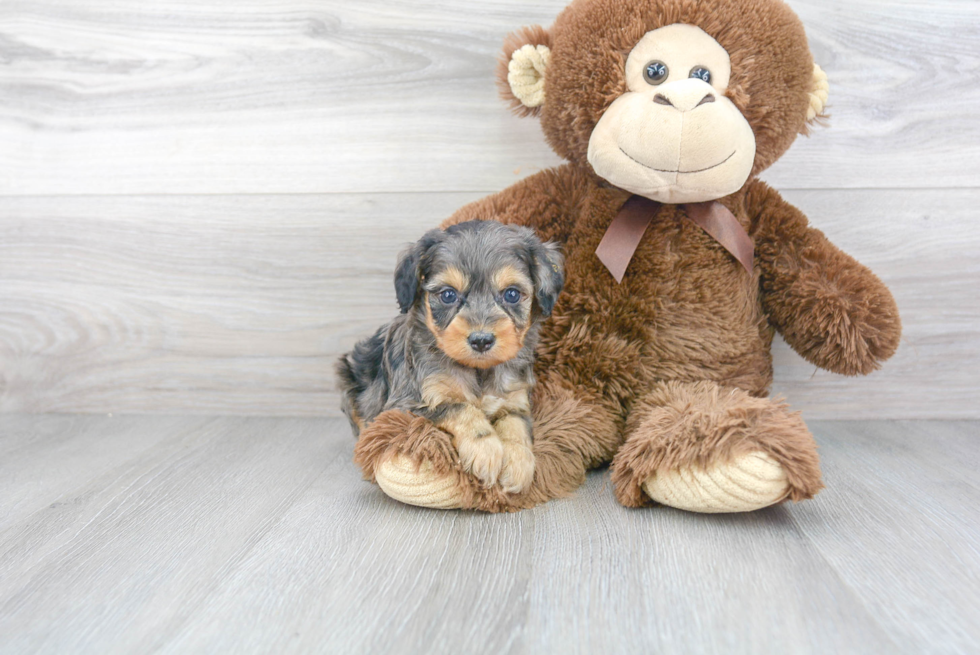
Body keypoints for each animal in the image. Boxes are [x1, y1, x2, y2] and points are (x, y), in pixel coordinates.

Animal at [338, 220, 564, 492]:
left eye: (511, 294)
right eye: (448, 295)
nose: (481, 340)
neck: (479, 371)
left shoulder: (515, 399)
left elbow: (515, 424)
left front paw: (518, 461)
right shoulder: (407, 404)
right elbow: (460, 407)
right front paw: (486, 450)